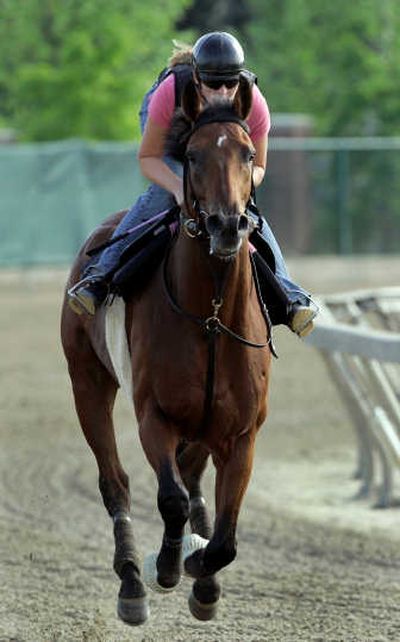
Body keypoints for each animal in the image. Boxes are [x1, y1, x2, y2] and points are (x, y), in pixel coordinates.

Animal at [61, 77, 274, 624]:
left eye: (247, 153)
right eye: (193, 156)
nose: (226, 226)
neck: (212, 314)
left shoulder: (242, 432)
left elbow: (226, 534)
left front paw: (204, 574)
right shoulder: (154, 414)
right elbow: (170, 498)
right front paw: (170, 565)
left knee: (193, 479)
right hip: (87, 382)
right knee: (115, 482)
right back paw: (133, 581)